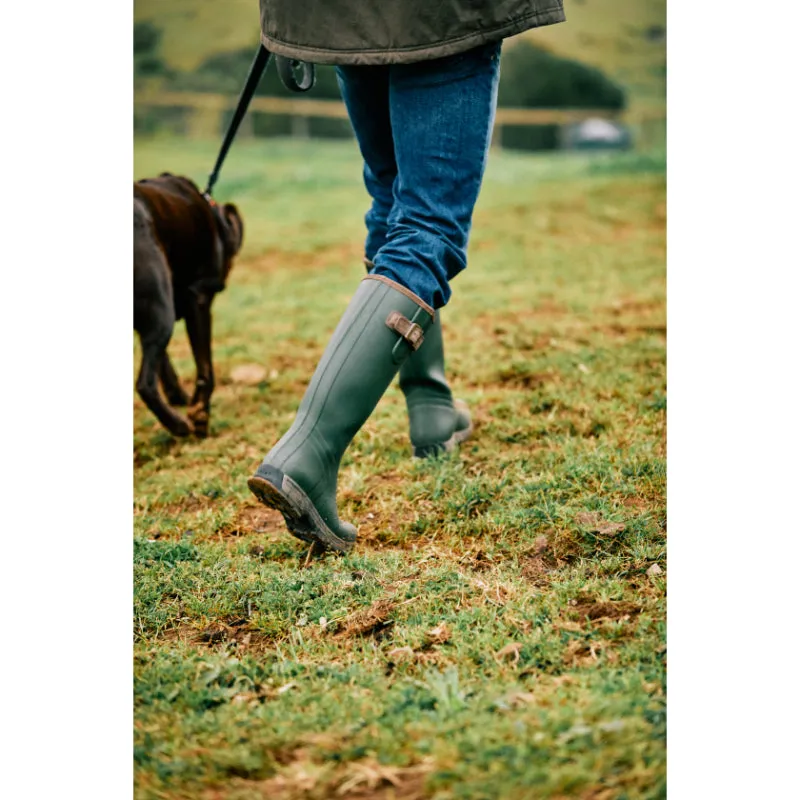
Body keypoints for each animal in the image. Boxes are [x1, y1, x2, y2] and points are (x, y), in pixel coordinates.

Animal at [134, 174, 242, 438]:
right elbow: (205, 368)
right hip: (163, 315)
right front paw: (200, 413)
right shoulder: (199, 298)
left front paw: (178, 395)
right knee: (144, 385)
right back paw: (179, 426)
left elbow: (164, 365)